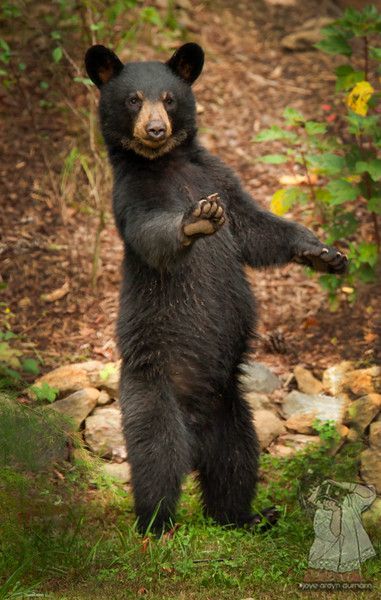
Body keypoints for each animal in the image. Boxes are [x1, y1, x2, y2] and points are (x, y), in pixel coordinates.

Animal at [84, 43, 346, 536]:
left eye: (169, 98)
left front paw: (324, 253)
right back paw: (156, 526)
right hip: (151, 391)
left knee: (237, 460)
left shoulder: (220, 177)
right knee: (157, 458)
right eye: (133, 100)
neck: (166, 163)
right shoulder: (132, 194)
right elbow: (153, 232)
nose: (155, 129)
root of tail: (195, 426)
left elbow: (257, 228)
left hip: (232, 407)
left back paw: (247, 515)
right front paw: (196, 219)